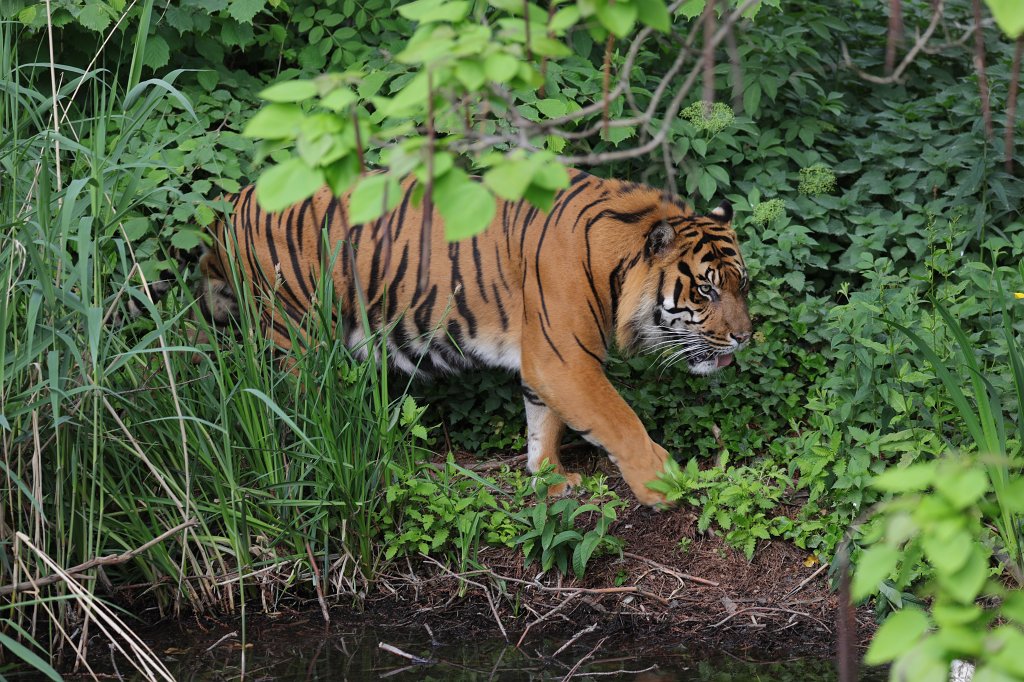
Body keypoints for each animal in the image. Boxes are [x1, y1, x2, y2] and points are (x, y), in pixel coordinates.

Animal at [195, 169, 752, 506]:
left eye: (740, 285)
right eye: (705, 290)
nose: (746, 337)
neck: (615, 265)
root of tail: (230, 205)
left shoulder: (544, 361)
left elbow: (544, 422)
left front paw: (550, 479)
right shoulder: (564, 359)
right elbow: (619, 421)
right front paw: (664, 483)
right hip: (297, 333)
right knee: (298, 408)